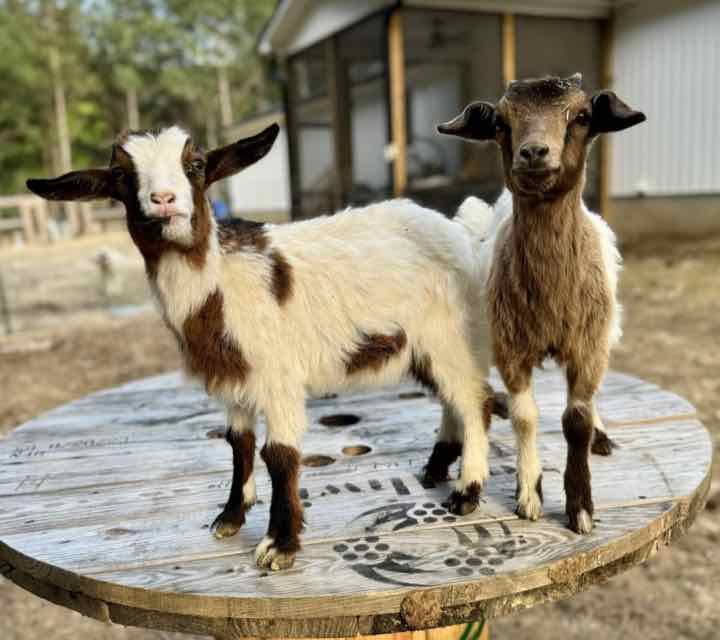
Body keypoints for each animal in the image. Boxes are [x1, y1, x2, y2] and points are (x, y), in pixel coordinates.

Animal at [27, 124, 504, 570]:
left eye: (196, 165)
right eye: (122, 175)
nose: (164, 200)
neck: (219, 286)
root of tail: (463, 233)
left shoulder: (278, 377)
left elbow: (279, 455)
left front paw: (281, 544)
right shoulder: (233, 380)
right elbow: (238, 443)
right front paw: (231, 516)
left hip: (453, 335)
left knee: (475, 402)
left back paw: (467, 491)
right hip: (425, 346)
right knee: (453, 401)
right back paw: (437, 466)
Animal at [438, 74, 646, 533]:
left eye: (582, 117)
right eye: (501, 123)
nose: (533, 152)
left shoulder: (587, 346)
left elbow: (576, 420)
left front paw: (580, 506)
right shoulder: (511, 348)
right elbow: (525, 417)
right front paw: (529, 492)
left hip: (603, 331)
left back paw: (601, 436)